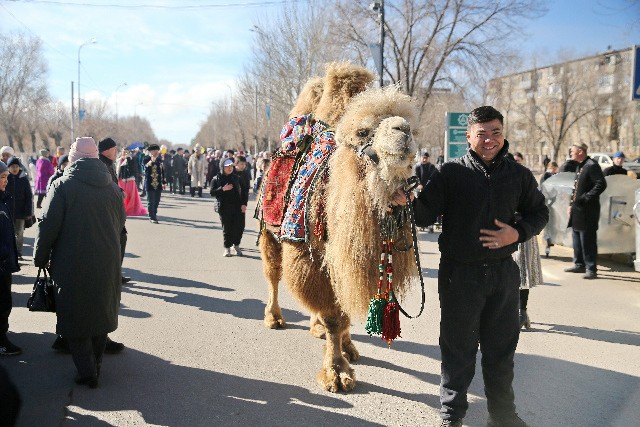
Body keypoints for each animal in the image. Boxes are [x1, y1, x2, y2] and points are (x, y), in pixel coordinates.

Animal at [258, 81, 418, 394]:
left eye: (412, 125)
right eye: (363, 132)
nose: (403, 129)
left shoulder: (347, 263)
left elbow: (342, 315)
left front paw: (347, 349)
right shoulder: (309, 256)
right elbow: (334, 316)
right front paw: (336, 372)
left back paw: (318, 329)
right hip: (269, 233)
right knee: (273, 275)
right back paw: (274, 318)